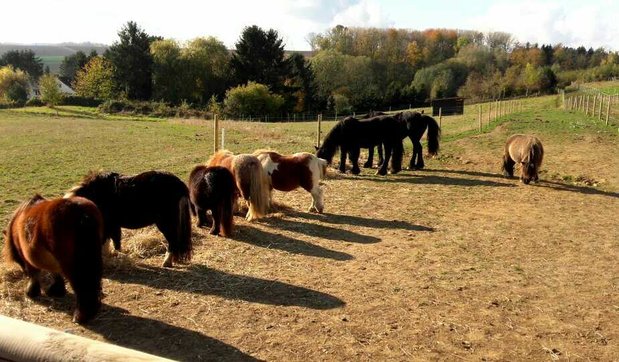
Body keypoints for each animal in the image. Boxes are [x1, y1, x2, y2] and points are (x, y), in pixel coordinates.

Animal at [3, 194, 104, 324]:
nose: (23, 273)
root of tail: (81, 212)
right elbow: (55, 273)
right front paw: (57, 290)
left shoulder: (27, 260)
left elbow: (34, 274)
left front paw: (32, 291)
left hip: (71, 267)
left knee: (81, 287)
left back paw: (80, 316)